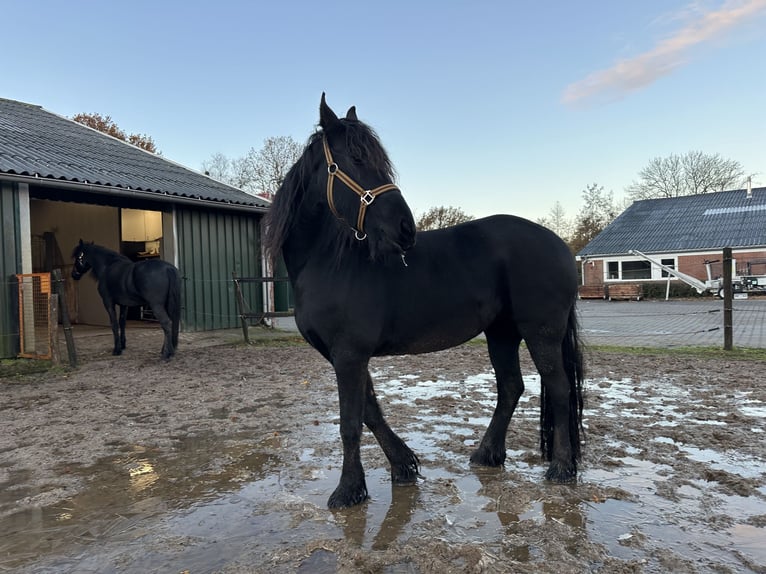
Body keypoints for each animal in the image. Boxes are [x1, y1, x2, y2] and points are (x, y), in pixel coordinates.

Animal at [266, 97, 588, 510]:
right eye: (356, 157)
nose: (406, 229)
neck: (328, 261)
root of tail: (560, 245)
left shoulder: (349, 354)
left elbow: (351, 423)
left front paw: (348, 490)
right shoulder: (344, 355)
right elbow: (371, 411)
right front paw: (403, 466)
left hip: (541, 332)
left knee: (559, 389)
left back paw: (561, 468)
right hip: (501, 333)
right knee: (511, 388)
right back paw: (487, 454)